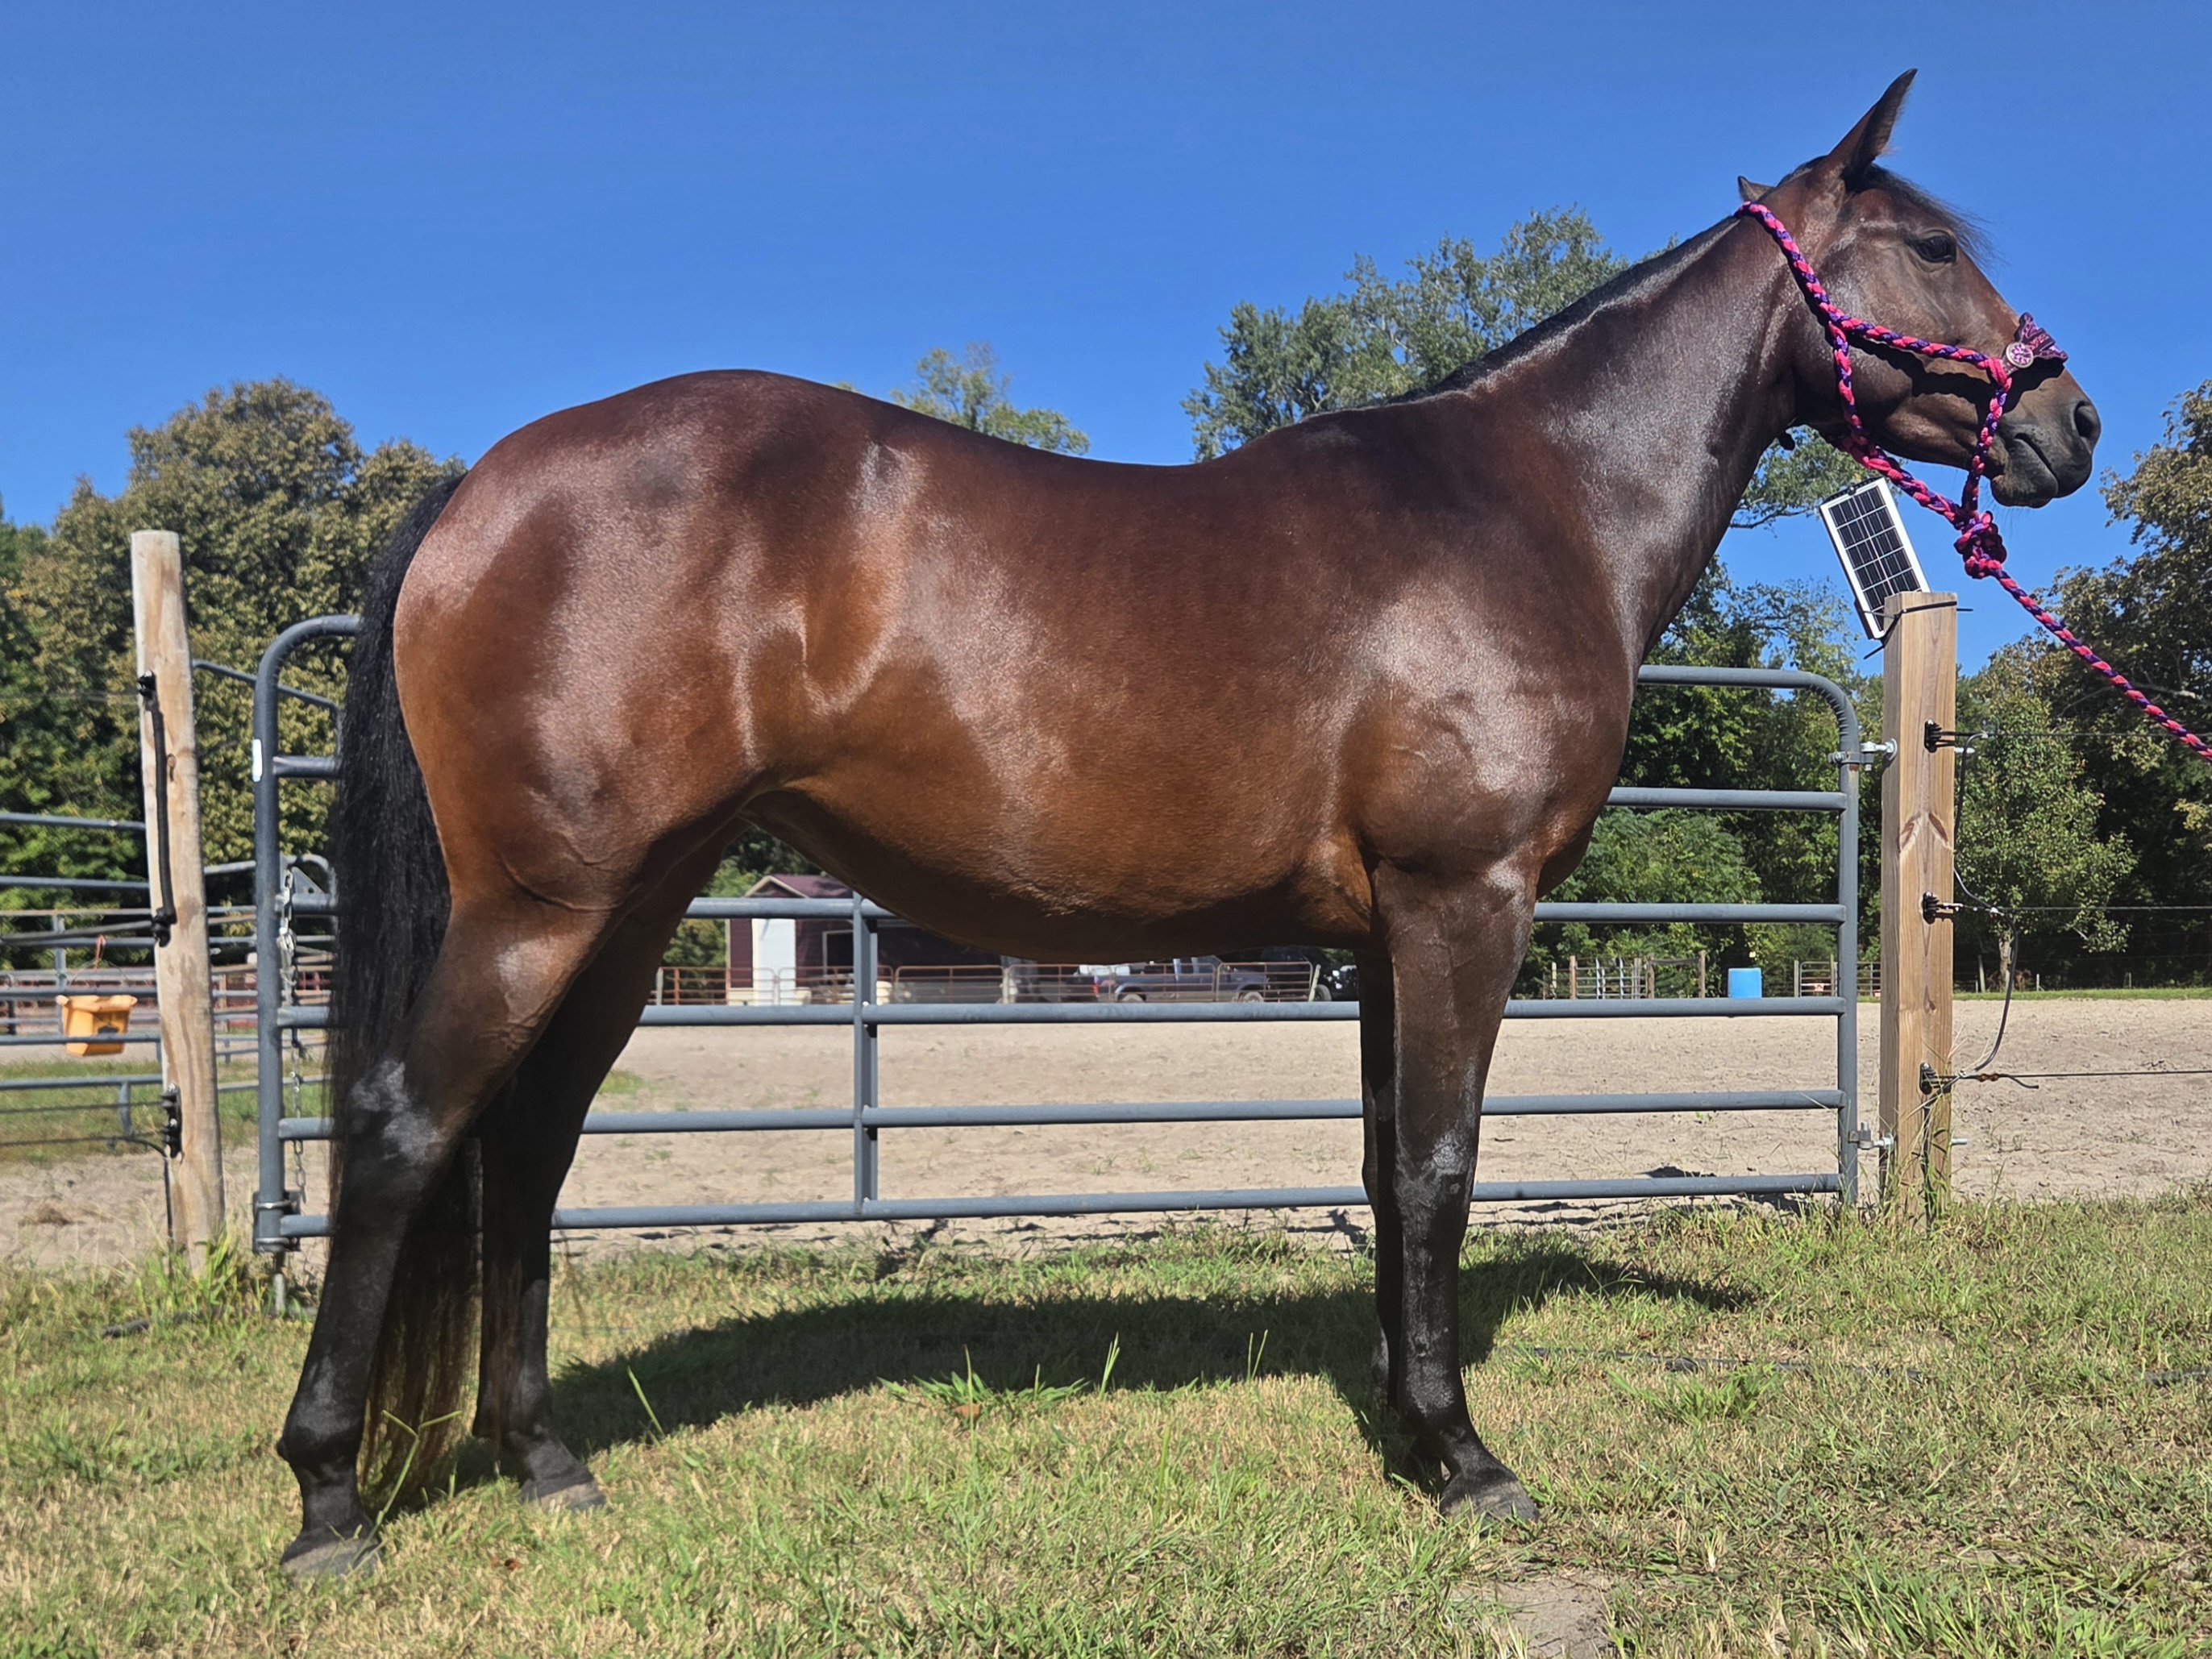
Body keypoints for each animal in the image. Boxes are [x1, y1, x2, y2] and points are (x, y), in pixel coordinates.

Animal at [275, 70, 2099, 1574]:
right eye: (1927, 246)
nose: (2066, 422)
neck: (1528, 505)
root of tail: (486, 481)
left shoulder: (1384, 937)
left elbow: (1383, 1162)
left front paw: (1404, 1420)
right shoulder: (1463, 901)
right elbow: (1439, 1162)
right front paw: (1466, 1459)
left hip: (628, 907)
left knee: (527, 1142)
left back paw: (543, 1462)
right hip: (536, 906)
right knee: (401, 1130)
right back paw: (328, 1500)